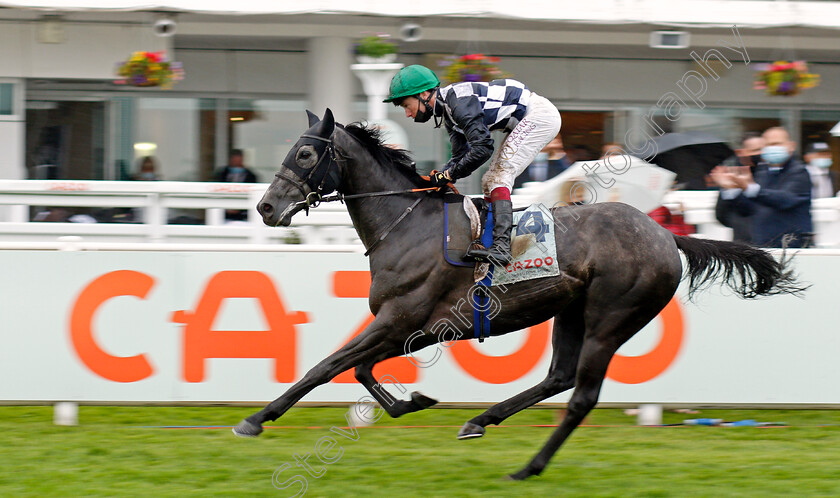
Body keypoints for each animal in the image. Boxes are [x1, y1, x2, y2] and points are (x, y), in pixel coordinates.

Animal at [236, 108, 800, 478]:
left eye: (304, 152)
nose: (265, 207)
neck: (407, 223)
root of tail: (665, 233)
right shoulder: (412, 326)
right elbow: (360, 369)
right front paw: (413, 401)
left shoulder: (400, 318)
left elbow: (328, 366)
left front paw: (257, 418)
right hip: (571, 312)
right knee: (559, 377)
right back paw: (480, 421)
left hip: (611, 317)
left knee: (582, 395)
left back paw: (529, 466)